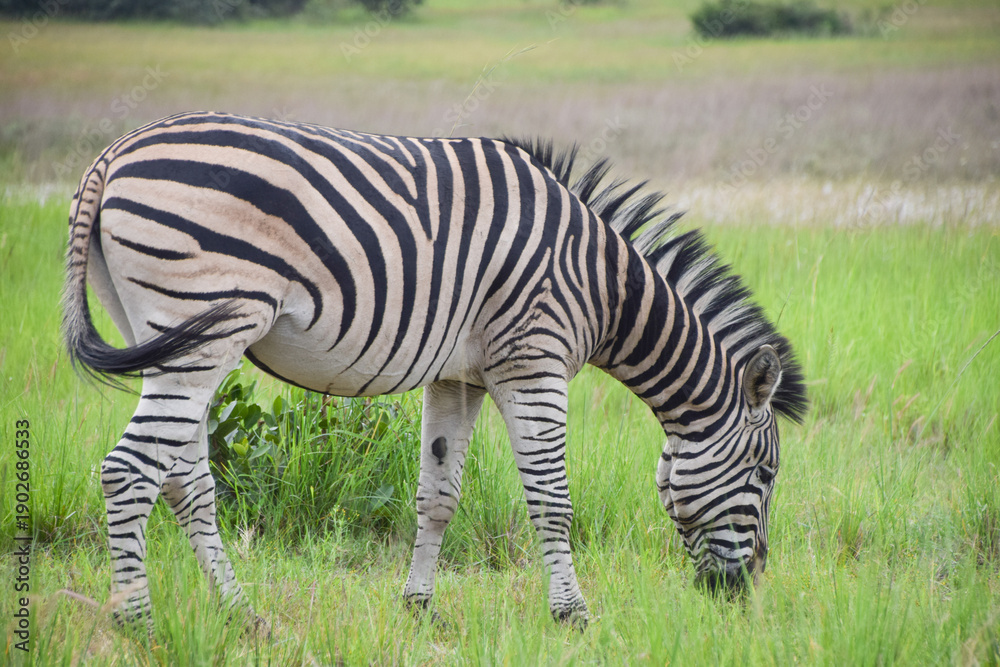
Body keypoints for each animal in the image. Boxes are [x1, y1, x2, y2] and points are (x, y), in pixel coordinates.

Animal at [64, 111, 807, 630]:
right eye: (767, 474)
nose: (745, 593)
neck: (600, 282)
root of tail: (110, 155)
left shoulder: (459, 377)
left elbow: (437, 495)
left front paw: (418, 606)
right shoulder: (533, 361)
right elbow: (552, 500)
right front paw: (573, 616)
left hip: (166, 338)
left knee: (185, 481)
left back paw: (243, 615)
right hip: (202, 327)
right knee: (130, 471)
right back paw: (137, 623)